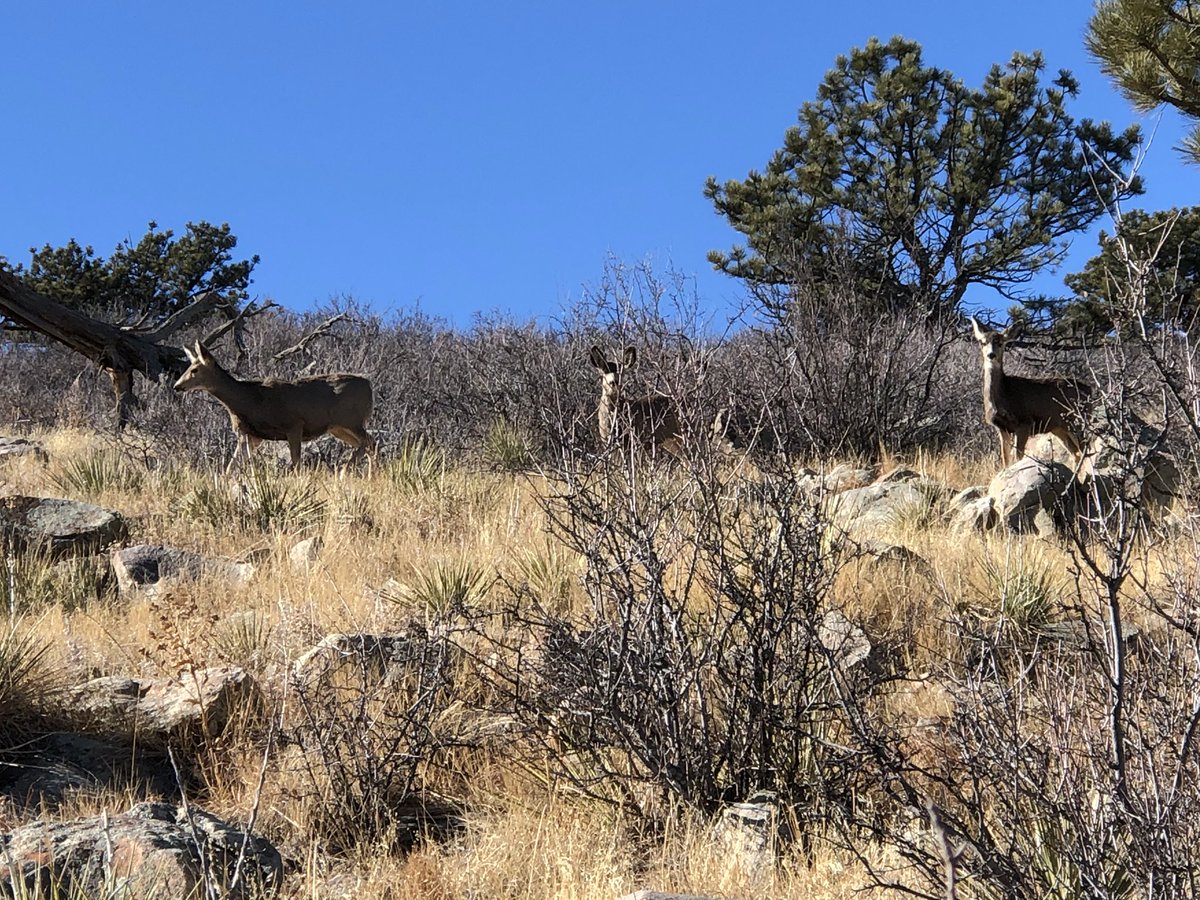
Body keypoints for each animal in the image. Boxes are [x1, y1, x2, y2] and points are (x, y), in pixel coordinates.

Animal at [173, 341, 377, 473]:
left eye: (194, 370)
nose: (177, 386)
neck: (247, 400)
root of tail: (369, 385)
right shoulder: (251, 435)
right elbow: (232, 466)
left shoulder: (294, 424)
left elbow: (296, 463)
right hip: (338, 428)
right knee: (368, 444)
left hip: (350, 419)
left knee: (370, 442)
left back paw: (346, 472)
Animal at [970, 317, 1090, 471]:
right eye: (982, 342)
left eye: (1000, 342)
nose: (991, 355)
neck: (1004, 394)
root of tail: (1090, 390)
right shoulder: (1002, 427)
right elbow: (1005, 459)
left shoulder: (1024, 422)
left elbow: (1018, 457)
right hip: (1059, 427)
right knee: (1075, 453)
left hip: (1078, 420)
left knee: (1086, 450)